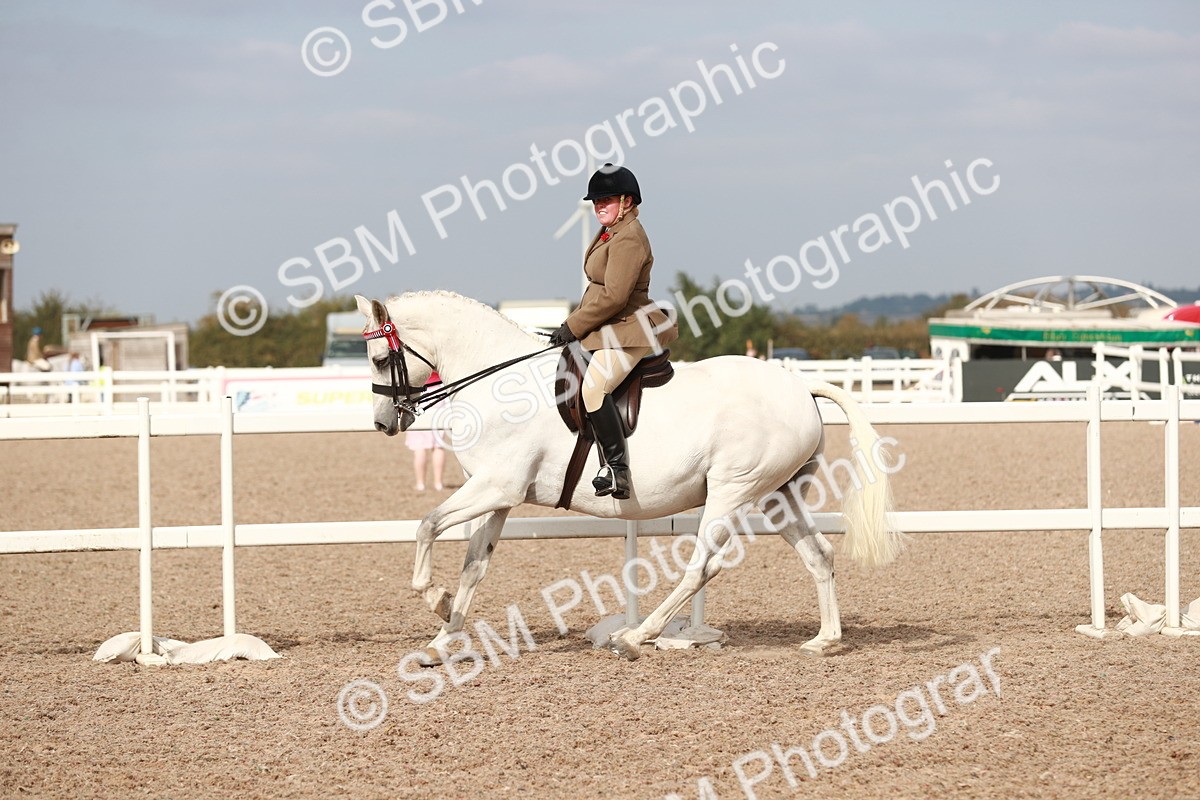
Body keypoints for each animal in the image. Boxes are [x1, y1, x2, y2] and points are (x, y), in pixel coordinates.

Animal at [354, 291, 905, 662]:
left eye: (380, 359)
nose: (383, 423)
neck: (501, 383)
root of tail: (800, 386)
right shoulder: (500, 498)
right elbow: (474, 567)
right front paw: (443, 637)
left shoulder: (495, 487)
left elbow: (426, 526)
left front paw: (436, 600)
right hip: (778, 496)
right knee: (819, 555)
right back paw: (825, 640)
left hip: (732, 491)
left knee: (702, 567)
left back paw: (636, 637)